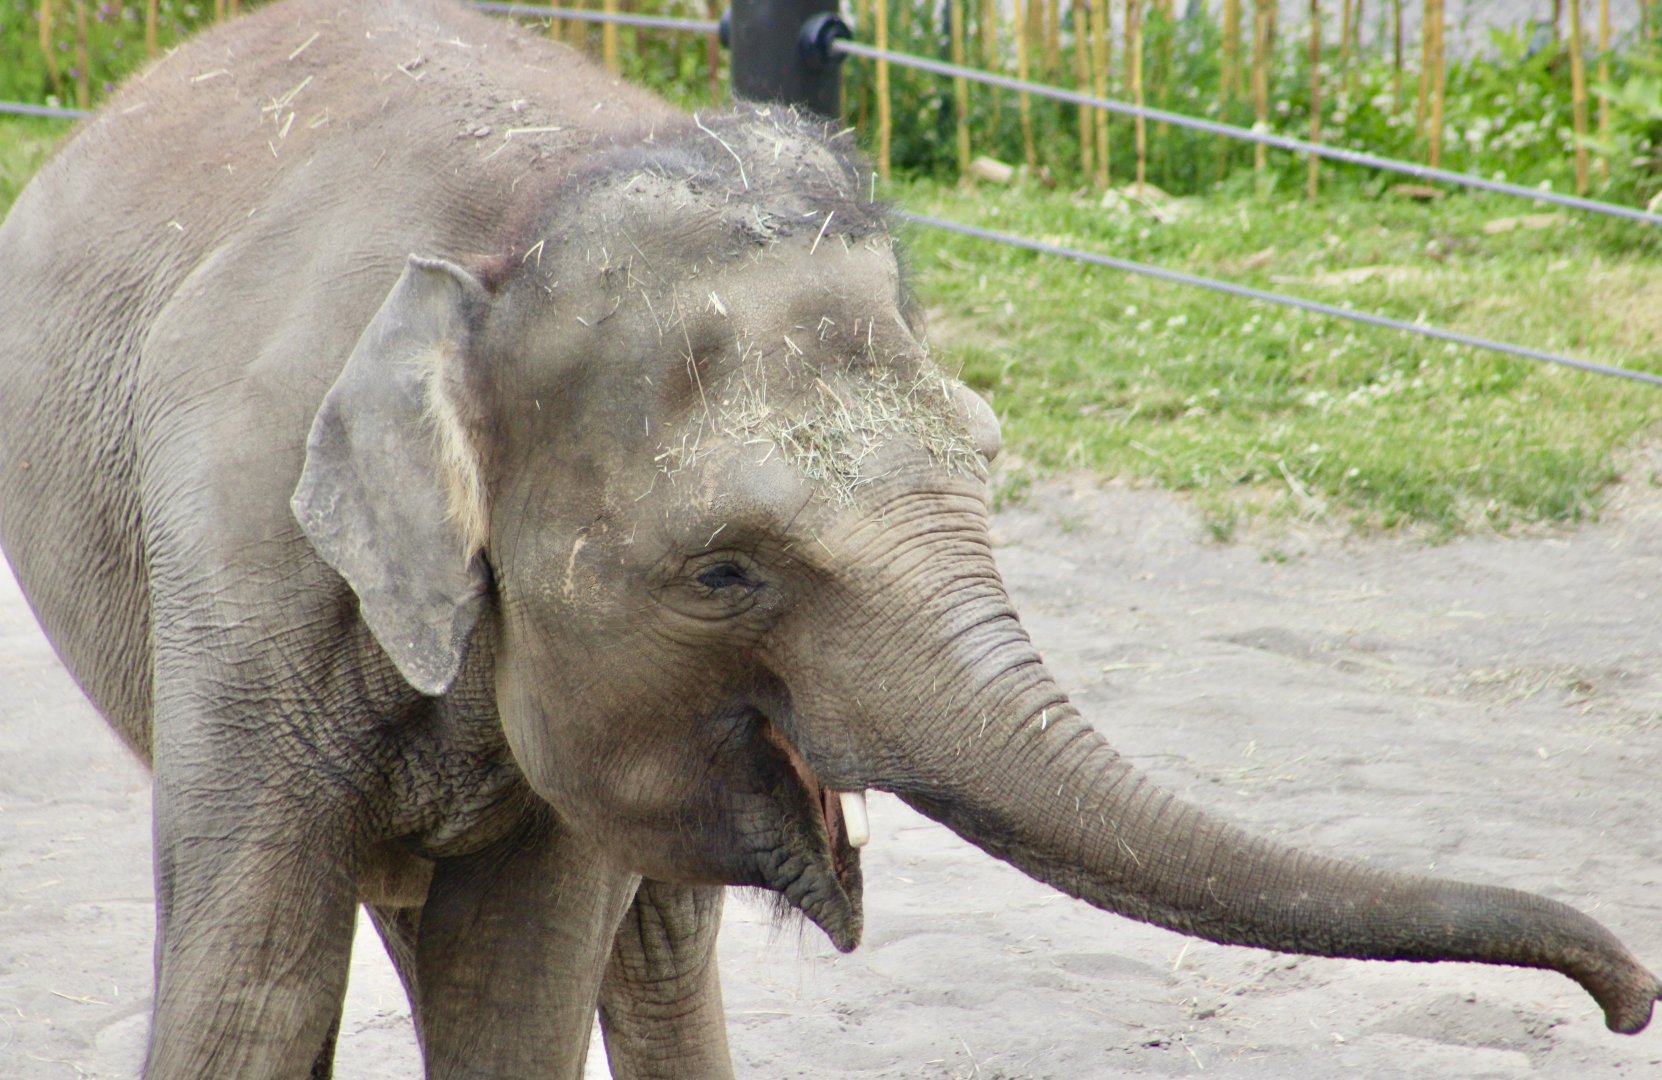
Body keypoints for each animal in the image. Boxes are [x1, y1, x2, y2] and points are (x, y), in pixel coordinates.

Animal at [0, 0, 1655, 1076]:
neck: (517, 228)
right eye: (724, 571)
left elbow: (514, 986)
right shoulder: (242, 572)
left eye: (986, 459)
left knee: (656, 953)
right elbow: (255, 993)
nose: (1632, 996)